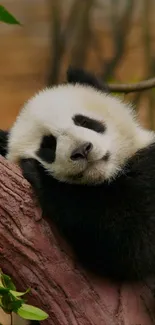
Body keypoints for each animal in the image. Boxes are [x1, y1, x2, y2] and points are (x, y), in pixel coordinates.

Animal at [0, 66, 155, 286]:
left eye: (84, 121)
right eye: (48, 145)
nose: (82, 149)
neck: (104, 177)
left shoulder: (149, 167)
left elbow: (132, 241)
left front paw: (39, 174)